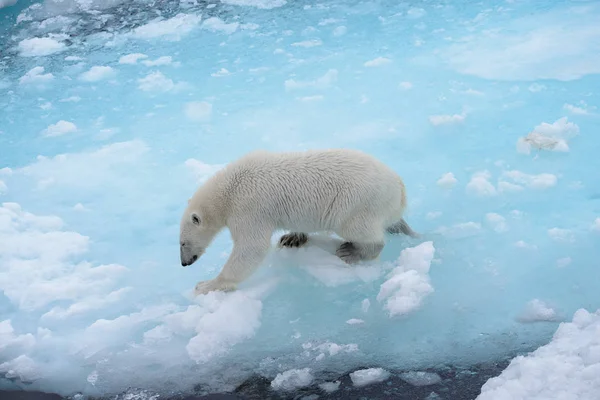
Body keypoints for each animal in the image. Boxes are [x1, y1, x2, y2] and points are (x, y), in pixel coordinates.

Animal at [179, 148, 418, 296]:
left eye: (182, 243)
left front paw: (206, 285)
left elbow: (251, 248)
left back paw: (351, 251)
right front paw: (292, 237)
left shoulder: (248, 208)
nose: (184, 263)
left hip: (358, 203)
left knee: (360, 230)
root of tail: (401, 189)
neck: (230, 189)